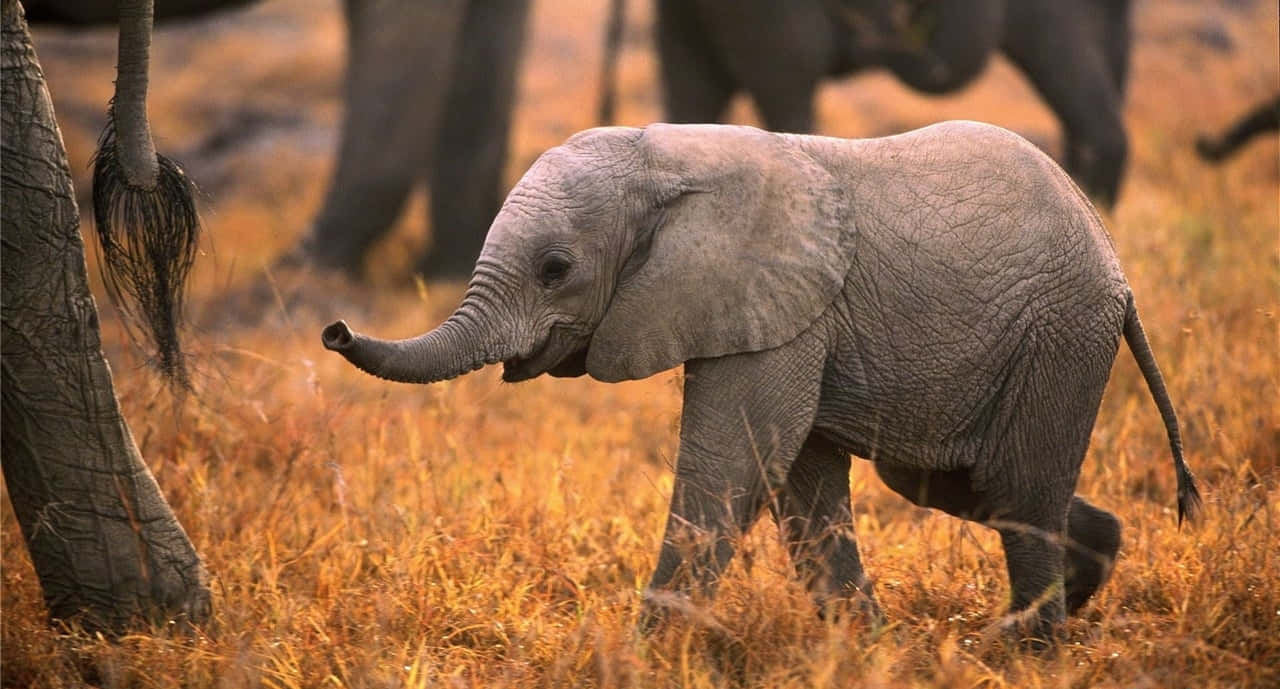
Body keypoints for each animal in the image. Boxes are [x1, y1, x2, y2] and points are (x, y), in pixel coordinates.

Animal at [322, 121, 1201, 644]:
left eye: (555, 269)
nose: (333, 329)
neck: (664, 158)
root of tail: (1116, 266)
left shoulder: (779, 304)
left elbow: (733, 465)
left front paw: (641, 654)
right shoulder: (786, 314)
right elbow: (802, 485)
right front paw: (865, 647)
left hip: (1059, 334)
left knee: (1017, 493)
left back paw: (1017, 645)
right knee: (964, 484)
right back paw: (1083, 583)